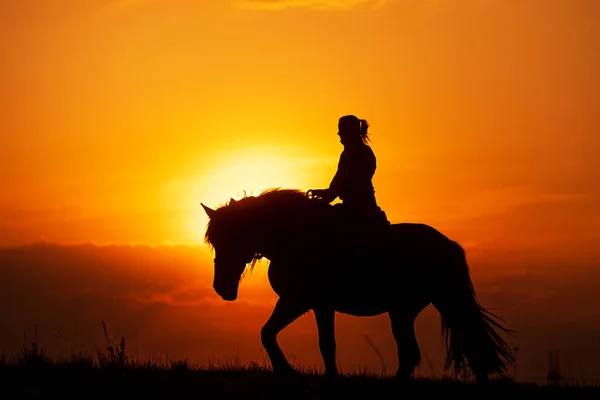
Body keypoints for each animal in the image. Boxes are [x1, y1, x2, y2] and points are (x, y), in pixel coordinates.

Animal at [202, 189, 516, 382]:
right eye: (214, 241)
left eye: (231, 236)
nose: (222, 288)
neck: (295, 238)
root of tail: (449, 244)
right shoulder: (297, 302)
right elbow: (269, 333)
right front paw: (288, 372)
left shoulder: (312, 303)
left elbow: (325, 344)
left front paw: (309, 375)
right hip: (407, 310)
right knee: (422, 349)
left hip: (432, 303)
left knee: (456, 343)